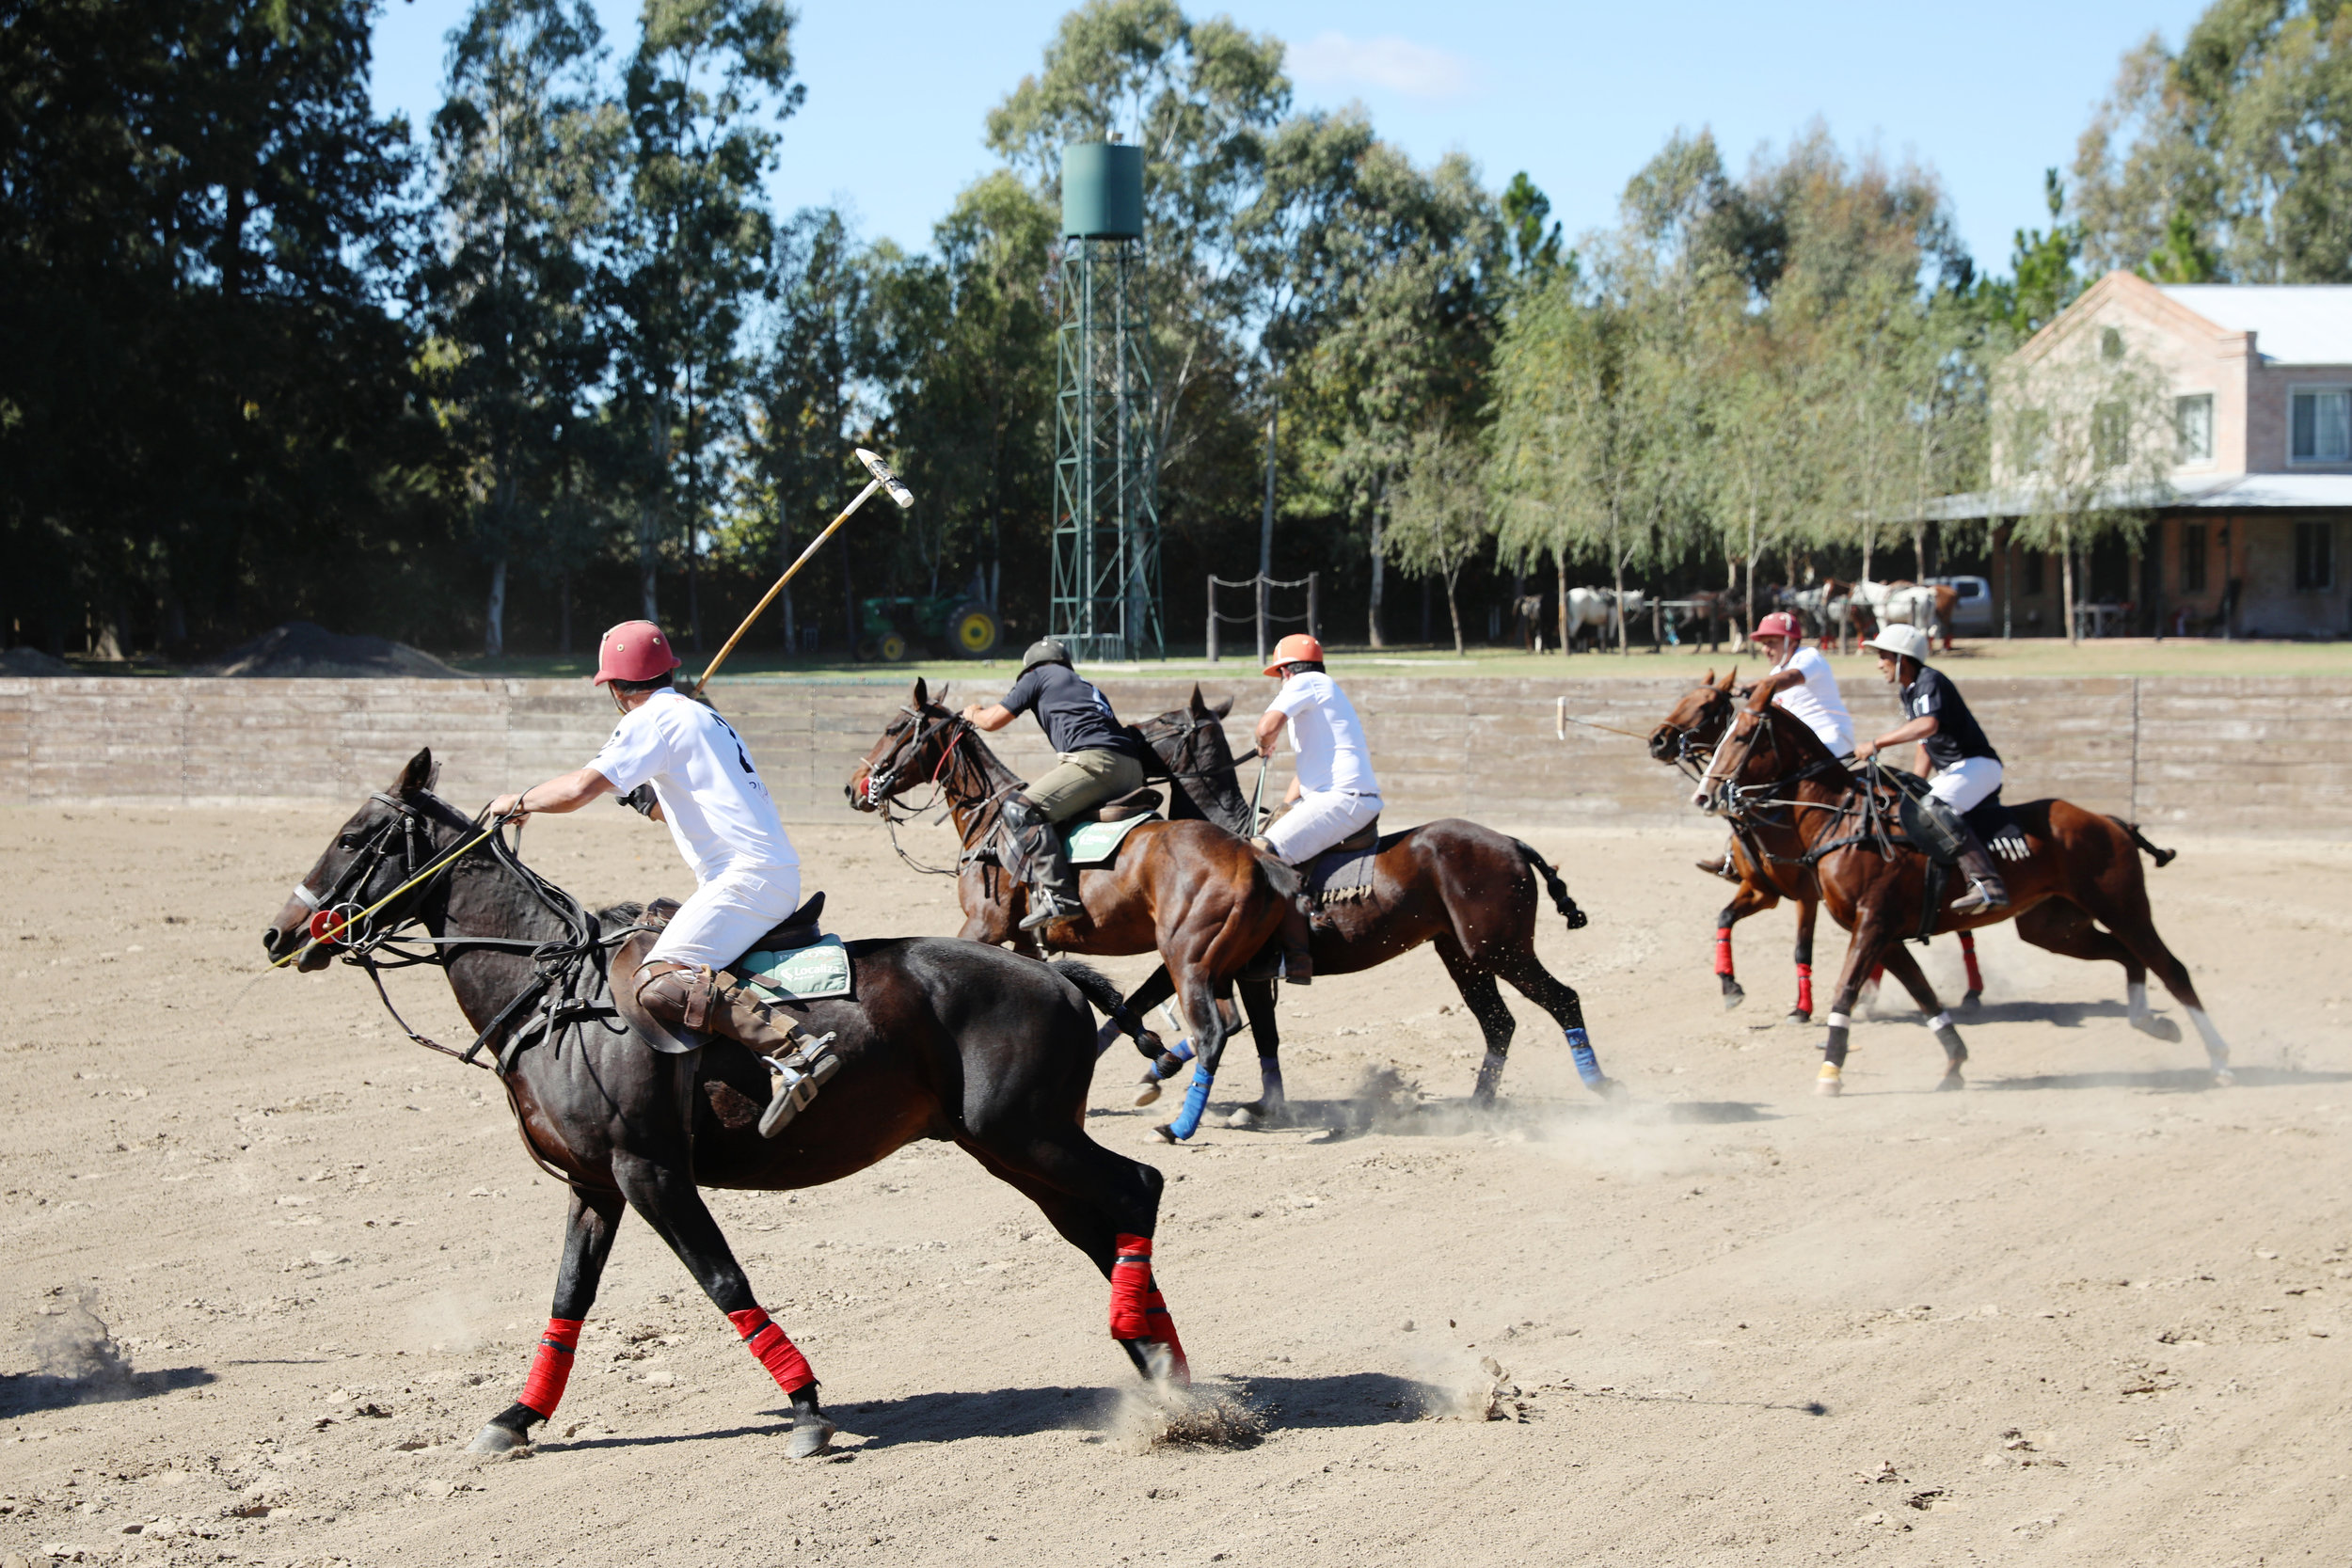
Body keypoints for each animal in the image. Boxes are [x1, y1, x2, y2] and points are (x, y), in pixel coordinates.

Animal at [262, 747, 1195, 1457]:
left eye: (353, 836)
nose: (278, 934)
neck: (554, 998)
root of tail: (1057, 976)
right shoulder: (594, 1186)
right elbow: (567, 1299)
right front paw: (514, 1416)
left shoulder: (650, 1171)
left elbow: (721, 1278)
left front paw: (810, 1409)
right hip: (1008, 1147)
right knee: (1099, 1225)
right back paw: (1162, 1365)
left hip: (1027, 1133)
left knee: (1136, 1188)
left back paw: (1167, 1370)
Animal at [837, 681, 1298, 1132]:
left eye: (894, 729)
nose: (853, 785)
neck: (990, 821)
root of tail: (1254, 856)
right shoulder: (1025, 941)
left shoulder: (984, 926)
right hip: (1222, 962)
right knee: (1235, 1023)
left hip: (1188, 959)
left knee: (1212, 1032)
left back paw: (1181, 1125)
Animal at [1110, 686, 1628, 1128]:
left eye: (1164, 719)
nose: (1124, 730)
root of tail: (1514, 843)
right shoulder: (1241, 971)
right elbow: (1258, 1034)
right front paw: (1248, 1100)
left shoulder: (1229, 966)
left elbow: (1222, 1024)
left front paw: (1162, 1073)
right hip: (1463, 956)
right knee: (1500, 1023)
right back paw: (1477, 1107)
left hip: (1502, 949)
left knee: (1562, 1000)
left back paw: (1599, 1085)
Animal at [1675, 681, 2220, 1100]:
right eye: (1723, 732)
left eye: (1744, 735)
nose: (1704, 795)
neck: (1840, 819)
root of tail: (2111, 821)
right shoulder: (1883, 933)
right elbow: (1924, 996)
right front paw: (1955, 1064)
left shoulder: (1872, 922)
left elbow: (1846, 988)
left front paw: (1830, 1072)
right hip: (2055, 926)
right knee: (2128, 958)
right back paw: (2153, 1023)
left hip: (2123, 905)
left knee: (2170, 968)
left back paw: (2220, 1058)